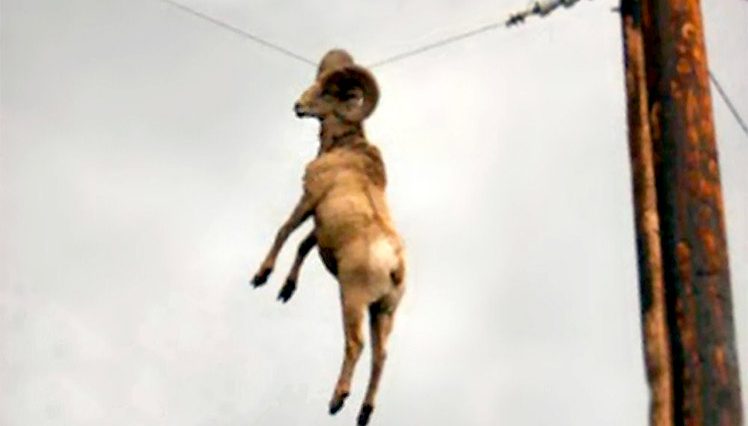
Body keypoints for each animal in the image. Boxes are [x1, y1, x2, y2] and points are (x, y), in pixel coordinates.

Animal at [251, 49, 406, 426]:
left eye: (327, 93)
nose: (298, 106)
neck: (344, 150)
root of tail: (394, 266)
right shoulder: (320, 224)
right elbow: (304, 244)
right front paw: (285, 290)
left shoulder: (309, 198)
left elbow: (285, 231)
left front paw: (261, 277)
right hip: (384, 313)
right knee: (381, 356)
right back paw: (363, 413)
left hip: (352, 300)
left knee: (356, 345)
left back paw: (337, 400)